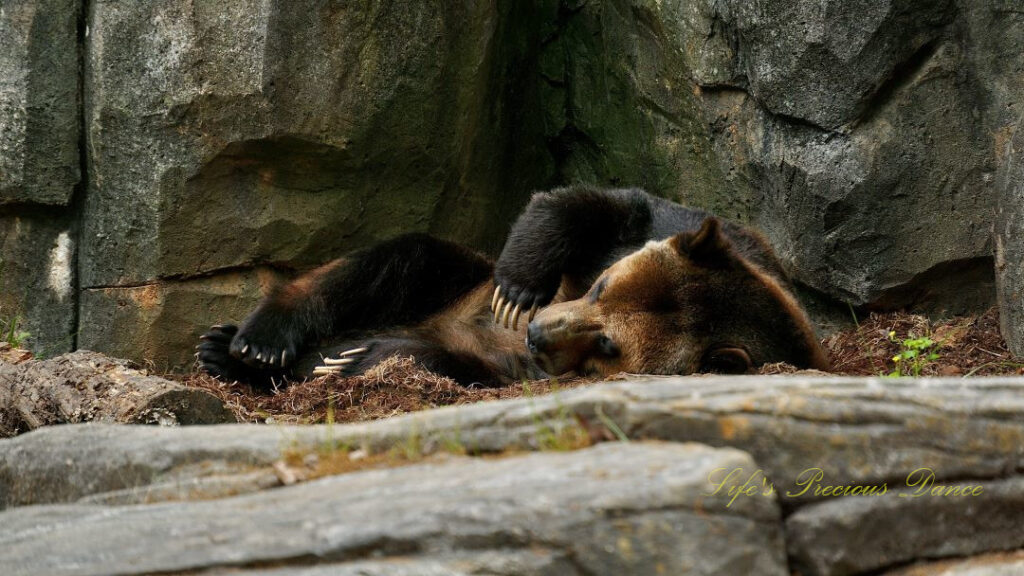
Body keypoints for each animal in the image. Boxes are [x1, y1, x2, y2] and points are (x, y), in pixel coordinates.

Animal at [195, 183, 827, 385]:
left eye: (609, 344)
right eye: (600, 284)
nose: (535, 331)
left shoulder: (527, 370)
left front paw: (348, 359)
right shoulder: (664, 223)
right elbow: (579, 206)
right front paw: (519, 286)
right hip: (449, 281)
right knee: (390, 262)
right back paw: (250, 343)